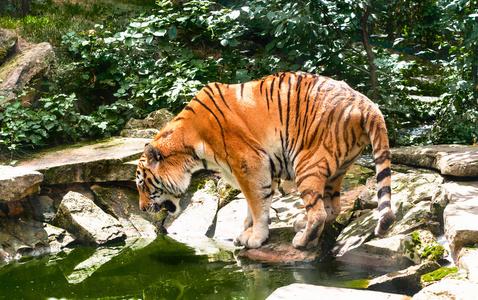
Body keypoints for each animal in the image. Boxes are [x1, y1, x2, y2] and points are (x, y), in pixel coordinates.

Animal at [135, 72, 396, 248]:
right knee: (333, 207)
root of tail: (367, 103)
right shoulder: (261, 169)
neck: (190, 146)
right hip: (337, 169)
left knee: (319, 212)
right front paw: (246, 232)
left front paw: (255, 238)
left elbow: (257, 205)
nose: (142, 208)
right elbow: (255, 205)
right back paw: (301, 225)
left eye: (142, 184)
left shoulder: (250, 165)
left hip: (307, 163)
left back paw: (302, 241)